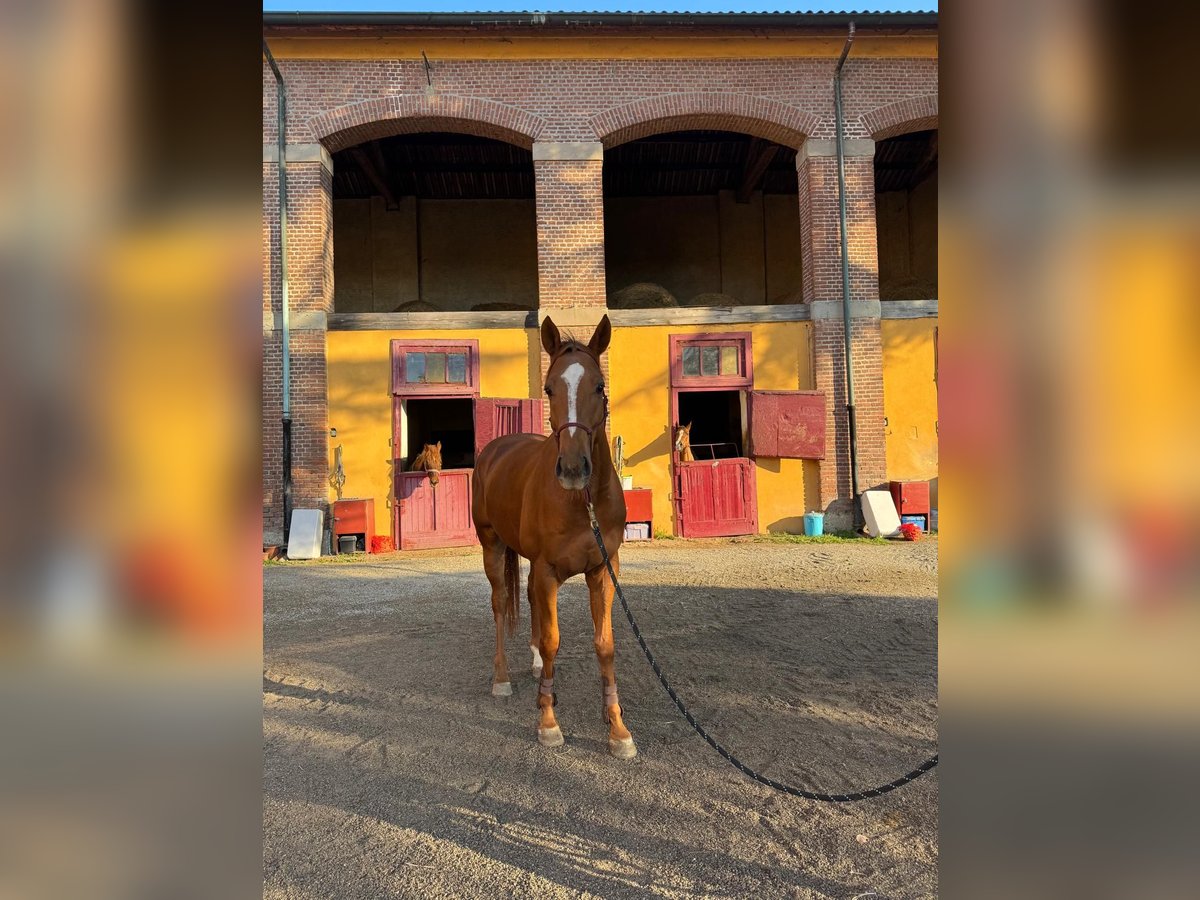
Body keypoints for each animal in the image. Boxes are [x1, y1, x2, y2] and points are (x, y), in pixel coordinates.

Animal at [470, 316, 638, 763]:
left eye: (599, 386)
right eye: (549, 388)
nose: (574, 468)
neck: (583, 502)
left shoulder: (603, 571)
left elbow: (605, 644)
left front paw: (617, 728)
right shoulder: (548, 571)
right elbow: (552, 641)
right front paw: (547, 721)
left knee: (526, 595)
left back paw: (529, 666)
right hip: (492, 547)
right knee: (499, 605)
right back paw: (502, 678)